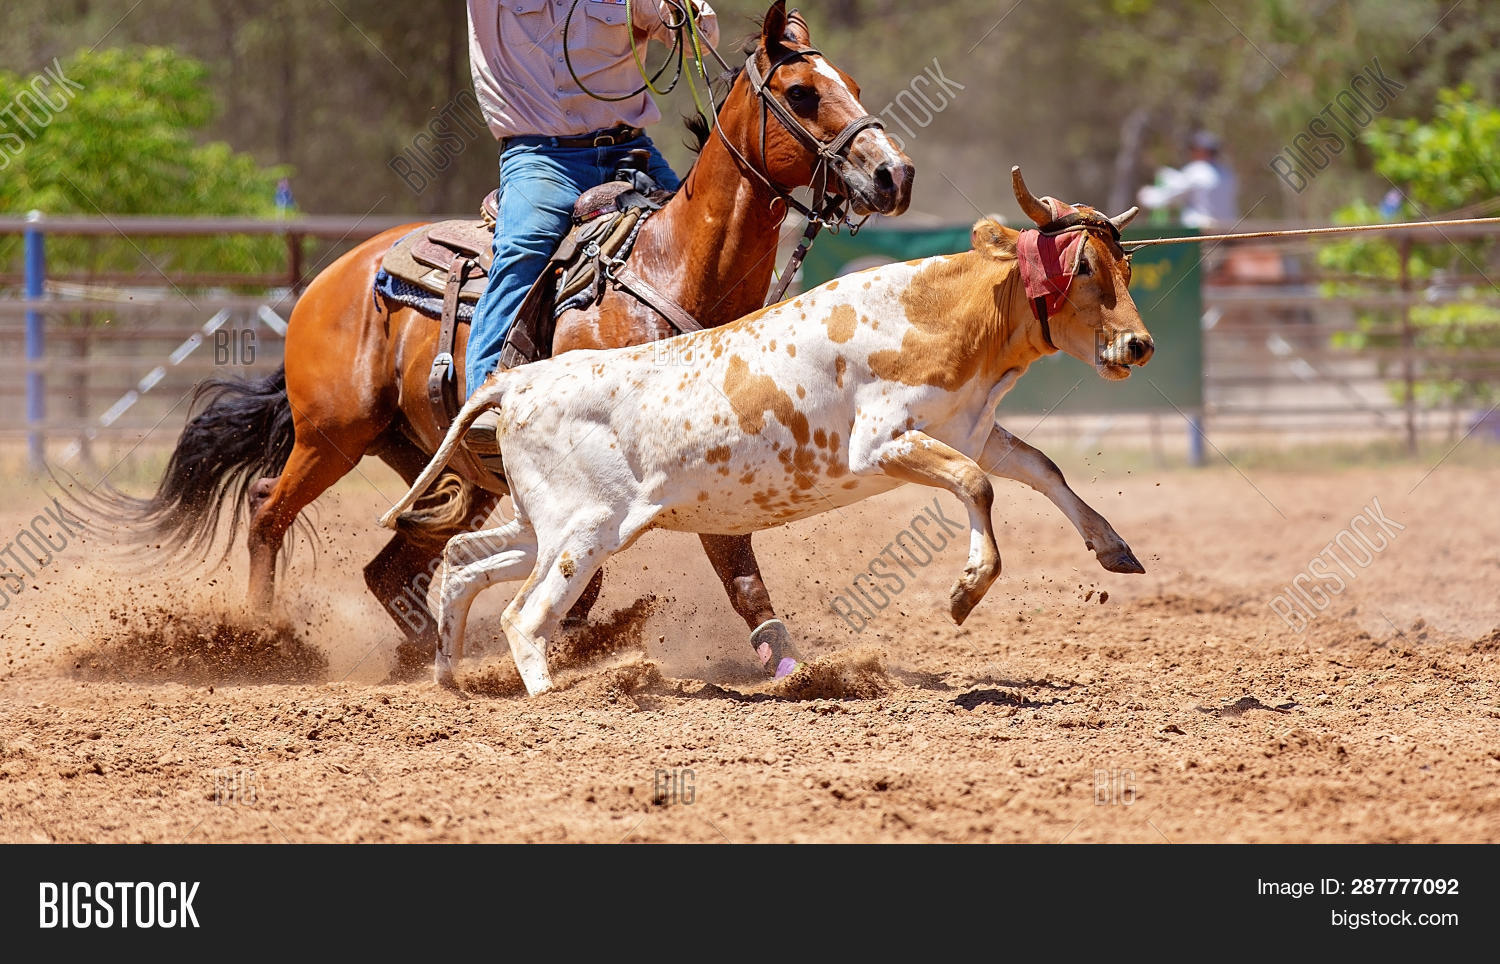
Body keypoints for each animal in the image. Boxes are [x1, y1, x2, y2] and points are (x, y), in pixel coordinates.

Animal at [379, 168, 1154, 696]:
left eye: (1126, 262)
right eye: (1084, 265)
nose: (1140, 345)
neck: (938, 313)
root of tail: (519, 382)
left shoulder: (971, 429)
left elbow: (1040, 469)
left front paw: (1113, 546)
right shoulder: (883, 443)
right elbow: (977, 486)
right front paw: (968, 588)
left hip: (551, 526)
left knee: (463, 563)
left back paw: (449, 676)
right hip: (583, 532)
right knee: (522, 614)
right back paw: (553, 697)